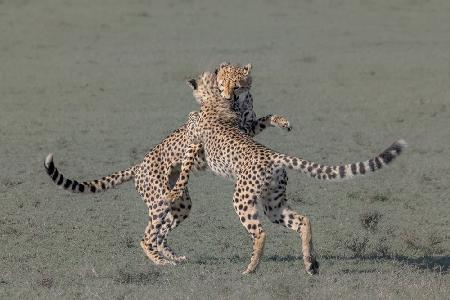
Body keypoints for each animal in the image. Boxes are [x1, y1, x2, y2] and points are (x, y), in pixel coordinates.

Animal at [44, 62, 292, 264]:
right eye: (222, 84)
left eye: (237, 86)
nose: (228, 97)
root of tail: (138, 166)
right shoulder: (217, 133)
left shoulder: (247, 128)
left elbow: (265, 118)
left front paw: (283, 121)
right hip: (158, 201)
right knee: (147, 237)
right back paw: (160, 261)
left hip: (181, 205)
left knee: (160, 234)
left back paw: (173, 257)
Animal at [167, 70, 406, 274]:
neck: (216, 99)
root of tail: (273, 155)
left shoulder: (195, 140)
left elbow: (186, 160)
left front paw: (174, 191)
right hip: (274, 203)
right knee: (303, 220)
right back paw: (310, 263)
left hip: (242, 198)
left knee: (260, 233)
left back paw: (251, 268)